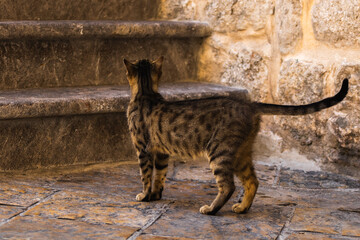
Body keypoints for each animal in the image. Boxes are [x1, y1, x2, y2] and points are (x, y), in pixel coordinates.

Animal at [123, 56, 346, 216]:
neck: (145, 93)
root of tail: (249, 104)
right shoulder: (161, 152)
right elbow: (159, 176)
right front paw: (155, 196)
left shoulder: (142, 148)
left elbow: (145, 176)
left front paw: (144, 196)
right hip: (240, 153)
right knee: (253, 181)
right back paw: (242, 208)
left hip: (219, 151)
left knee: (228, 186)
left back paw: (211, 209)